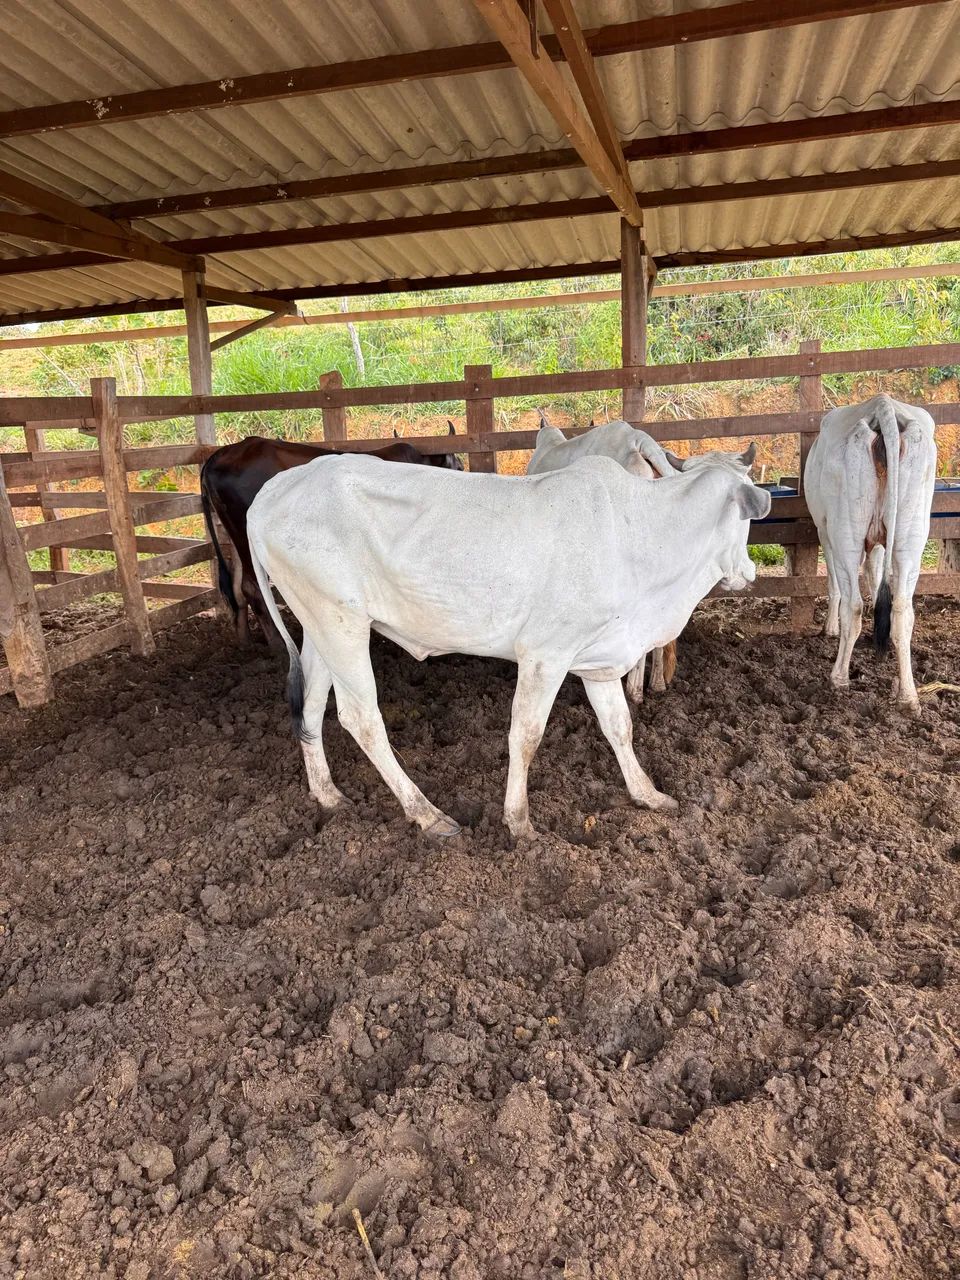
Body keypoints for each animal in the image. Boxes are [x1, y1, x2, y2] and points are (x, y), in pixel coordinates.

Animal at [200, 430, 463, 646]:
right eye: (459, 467)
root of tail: (220, 455)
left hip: (234, 536)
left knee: (235, 588)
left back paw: (245, 642)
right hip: (246, 535)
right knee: (251, 587)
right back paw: (277, 645)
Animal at [246, 450, 770, 840]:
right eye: (748, 520)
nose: (750, 571)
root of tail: (273, 491)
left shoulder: (598, 657)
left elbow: (619, 726)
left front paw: (648, 794)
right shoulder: (544, 654)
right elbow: (527, 735)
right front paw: (519, 822)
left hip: (319, 625)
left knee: (310, 707)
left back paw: (327, 795)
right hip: (341, 622)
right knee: (361, 718)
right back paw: (428, 814)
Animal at [803, 394, 936, 713]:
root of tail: (883, 406)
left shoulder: (825, 531)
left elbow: (836, 585)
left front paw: (830, 628)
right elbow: (875, 577)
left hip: (846, 532)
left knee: (853, 605)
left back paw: (838, 678)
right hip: (911, 536)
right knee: (902, 609)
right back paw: (908, 695)